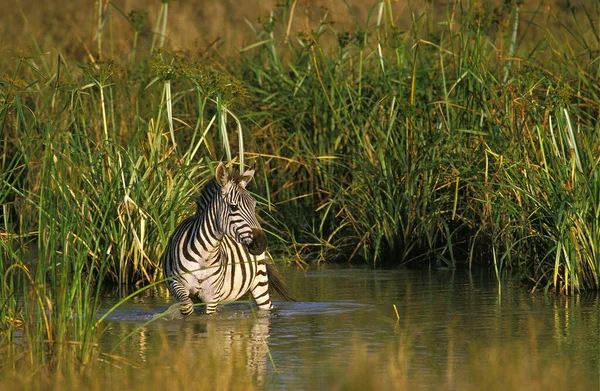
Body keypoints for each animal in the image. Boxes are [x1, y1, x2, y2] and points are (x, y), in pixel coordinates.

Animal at [159, 161, 290, 316]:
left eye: (254, 206)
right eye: (233, 207)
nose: (262, 244)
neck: (205, 256)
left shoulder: (212, 295)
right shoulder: (177, 284)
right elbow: (187, 307)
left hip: (260, 281)